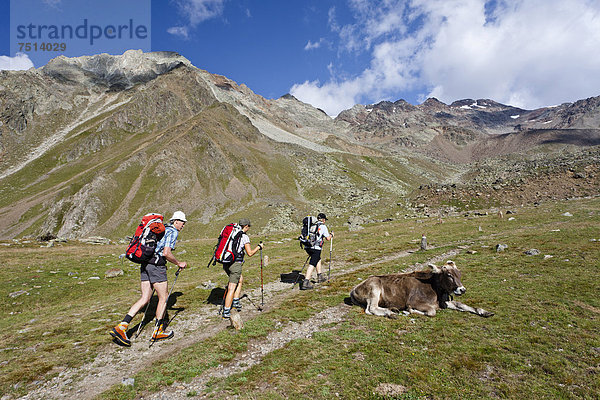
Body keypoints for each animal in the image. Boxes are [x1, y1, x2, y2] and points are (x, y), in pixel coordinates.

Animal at [350, 262, 494, 318]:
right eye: (449, 275)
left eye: (459, 273)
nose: (462, 289)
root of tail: (354, 288)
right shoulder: (414, 302)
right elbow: (431, 312)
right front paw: (410, 311)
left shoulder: (446, 302)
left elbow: (463, 305)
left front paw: (485, 312)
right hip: (374, 289)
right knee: (371, 309)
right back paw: (391, 313)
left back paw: (393, 309)